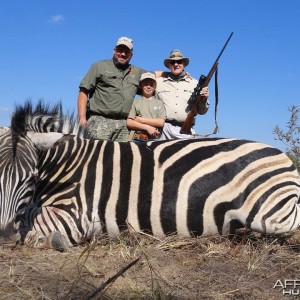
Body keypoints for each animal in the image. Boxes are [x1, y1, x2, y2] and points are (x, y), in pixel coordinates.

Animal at [0, 99, 298, 250]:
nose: (4, 235)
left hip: (272, 215)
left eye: (31, 177)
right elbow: (27, 215)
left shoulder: (76, 215)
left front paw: (48, 238)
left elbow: (33, 224)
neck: (68, 165)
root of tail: (285, 158)